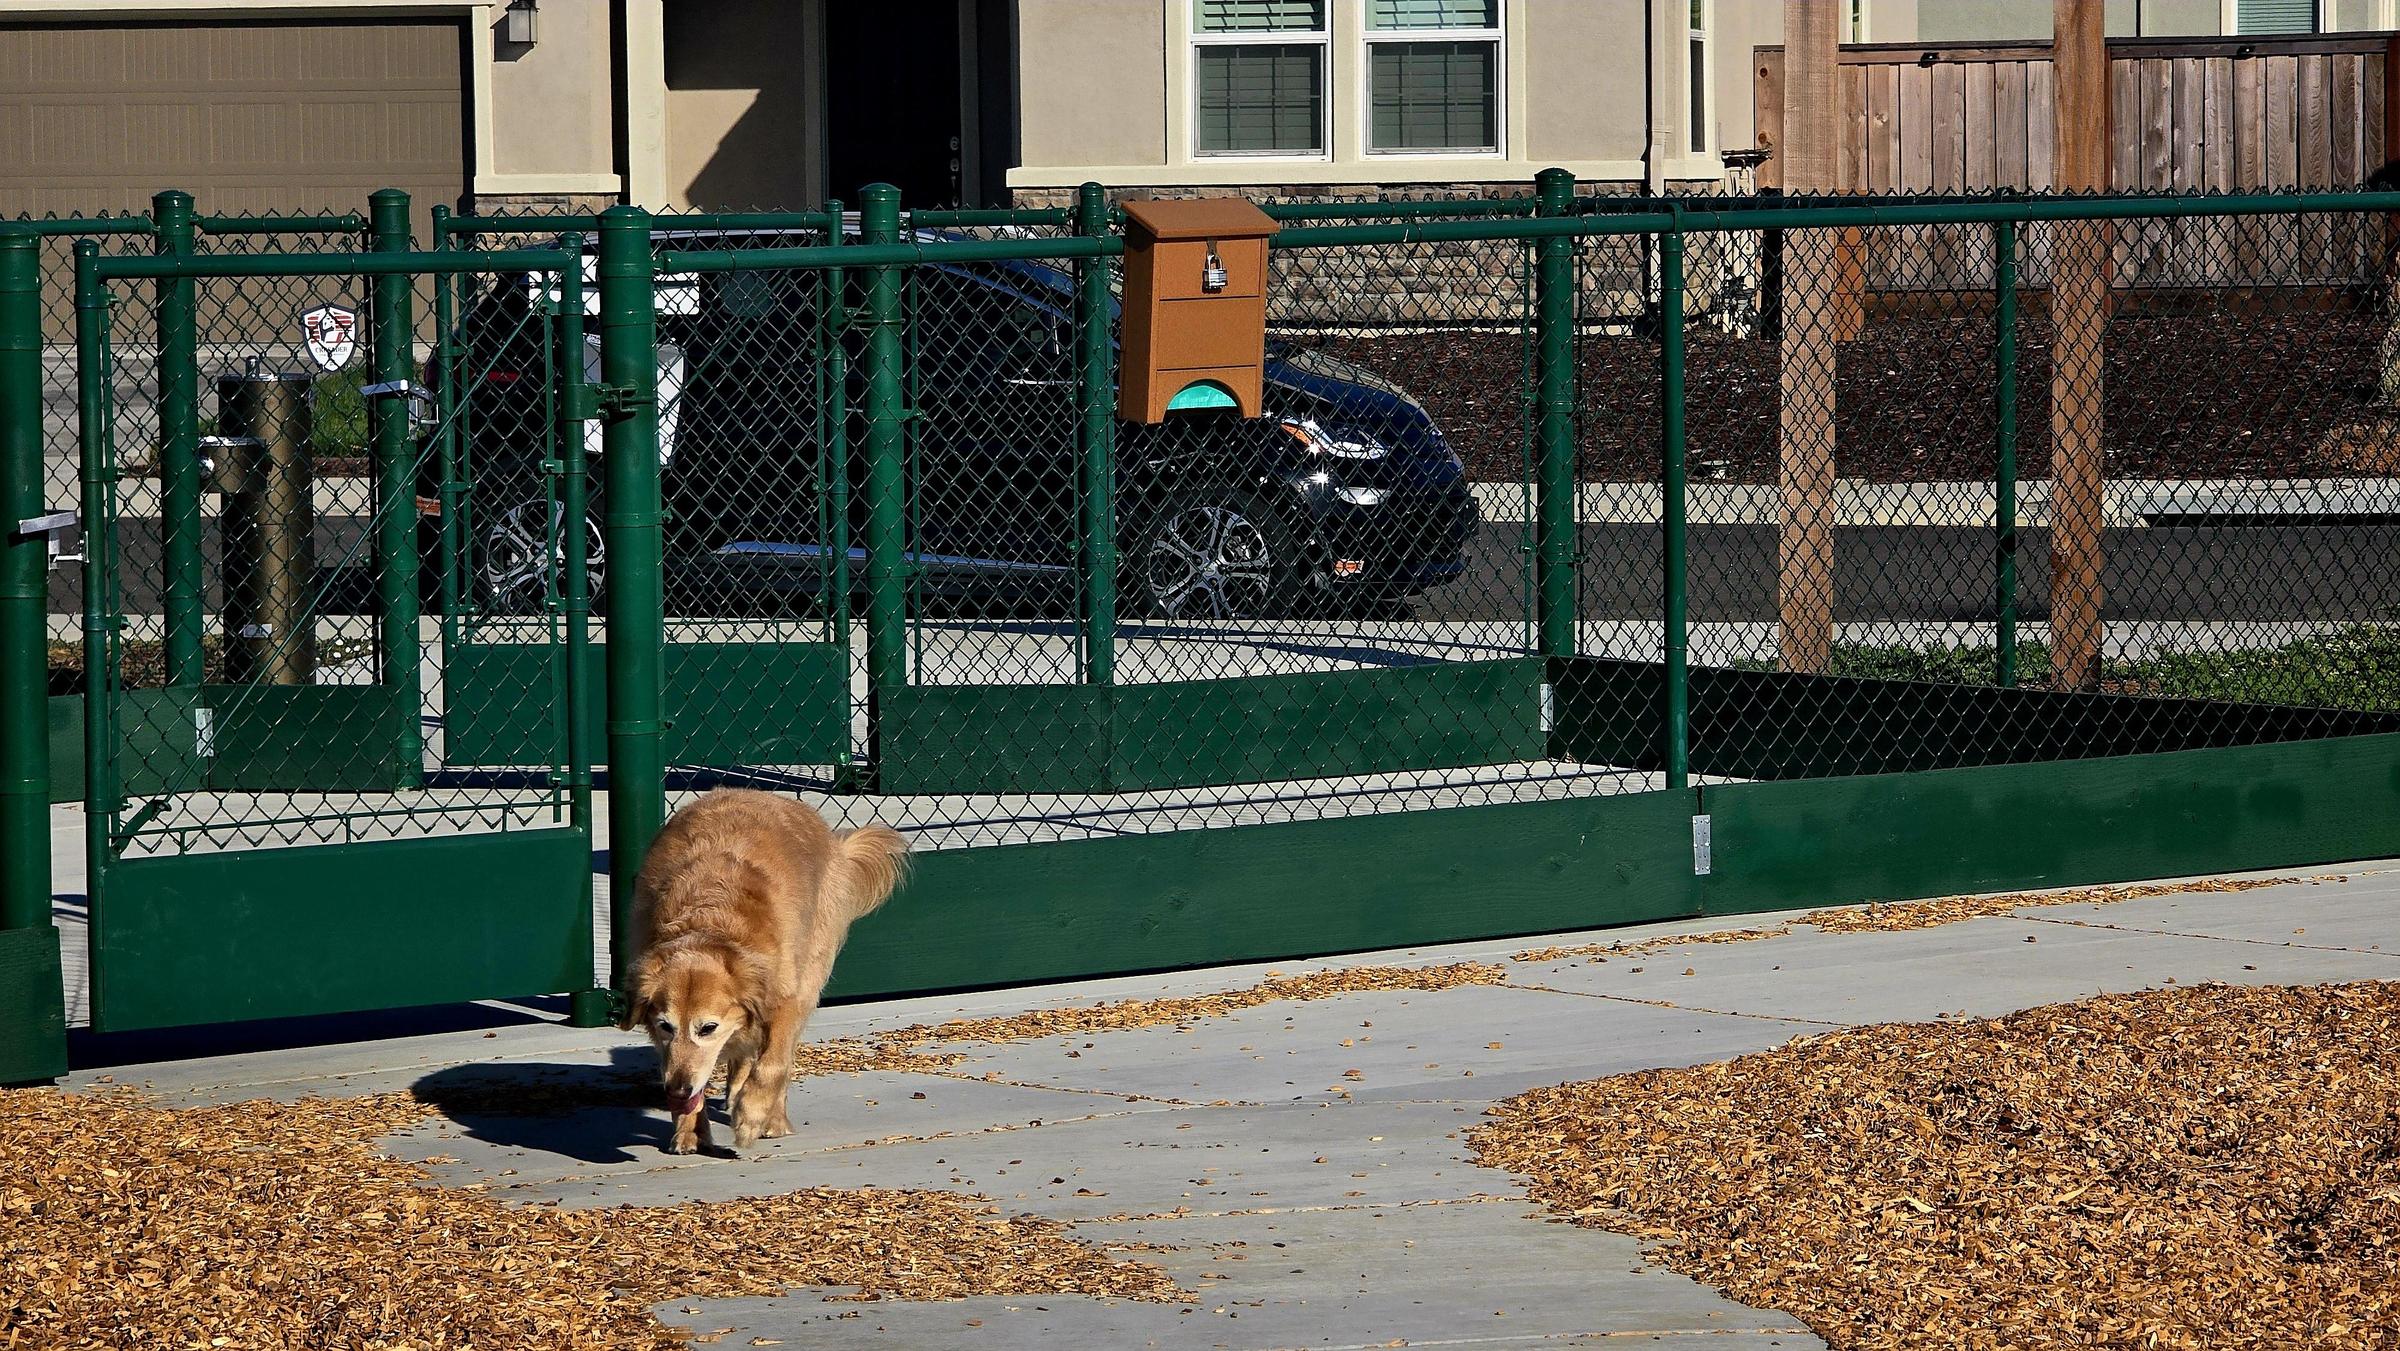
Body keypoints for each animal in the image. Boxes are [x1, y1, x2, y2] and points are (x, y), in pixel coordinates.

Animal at [619, 791, 907, 1151]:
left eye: (708, 1028)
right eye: (665, 1026)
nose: (678, 1089)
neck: (709, 922)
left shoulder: (786, 999)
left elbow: (773, 1065)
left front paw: (752, 1116)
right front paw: (689, 1130)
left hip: (811, 973)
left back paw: (772, 1118)